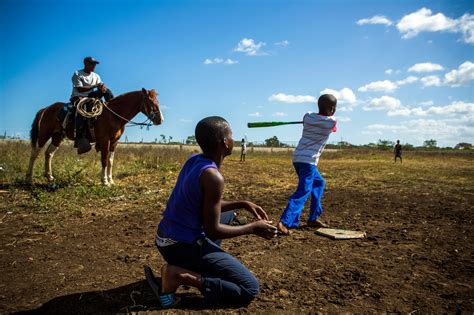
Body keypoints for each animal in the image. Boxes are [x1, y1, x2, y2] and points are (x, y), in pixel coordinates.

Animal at [25, 89, 164, 186]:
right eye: (151, 102)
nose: (160, 119)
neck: (113, 115)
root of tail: (45, 109)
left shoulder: (114, 142)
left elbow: (110, 161)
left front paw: (111, 180)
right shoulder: (104, 140)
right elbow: (104, 160)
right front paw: (104, 181)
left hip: (57, 136)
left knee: (49, 153)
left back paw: (49, 177)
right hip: (44, 135)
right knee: (34, 153)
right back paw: (29, 179)